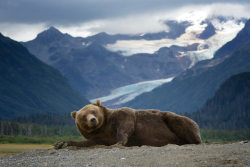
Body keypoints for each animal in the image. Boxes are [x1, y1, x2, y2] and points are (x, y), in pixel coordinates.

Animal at [53, 99, 202, 149]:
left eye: (93, 111)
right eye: (83, 116)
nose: (93, 120)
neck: (103, 127)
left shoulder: (119, 117)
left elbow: (126, 119)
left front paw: (121, 141)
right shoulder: (100, 137)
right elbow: (88, 142)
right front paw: (61, 143)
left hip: (170, 119)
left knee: (182, 123)